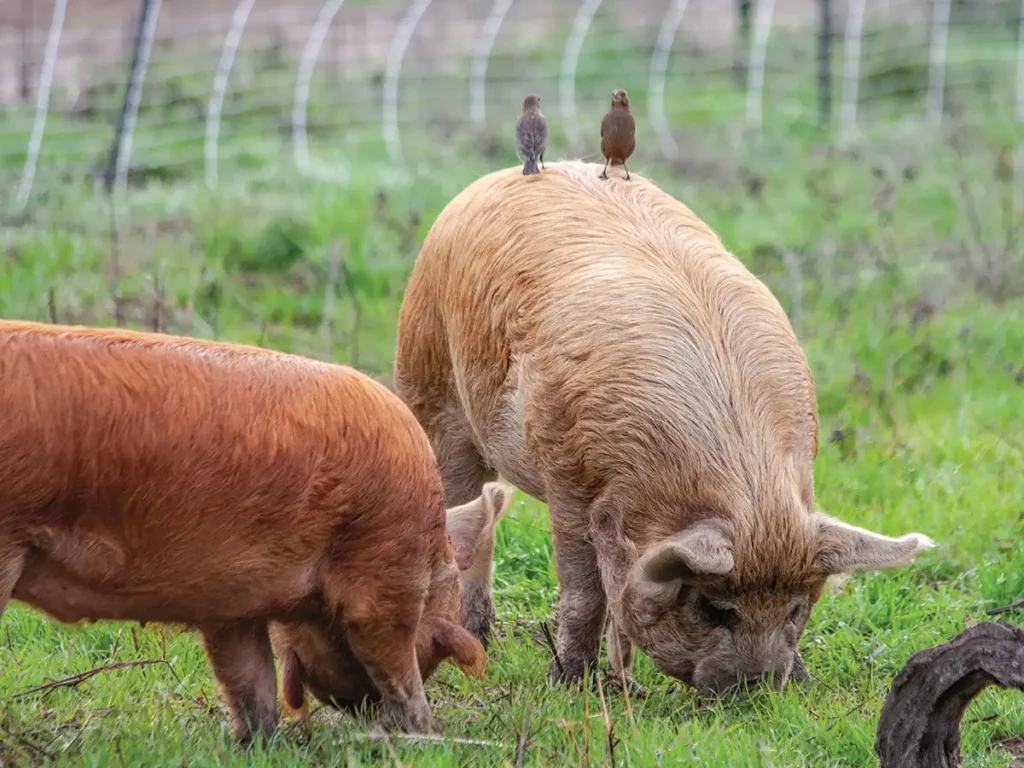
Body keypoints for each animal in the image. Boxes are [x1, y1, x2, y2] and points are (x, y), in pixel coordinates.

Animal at [0, 320, 499, 743]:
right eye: (440, 628)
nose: (356, 706)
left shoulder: (231, 605)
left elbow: (249, 678)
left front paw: (256, 743)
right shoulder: (383, 575)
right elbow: (394, 662)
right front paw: (426, 733)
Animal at [393, 162, 935, 695]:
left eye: (797, 607)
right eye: (713, 609)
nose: (758, 687)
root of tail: (499, 177)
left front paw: (799, 681)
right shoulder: (565, 472)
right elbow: (583, 590)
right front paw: (567, 683)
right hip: (427, 383)